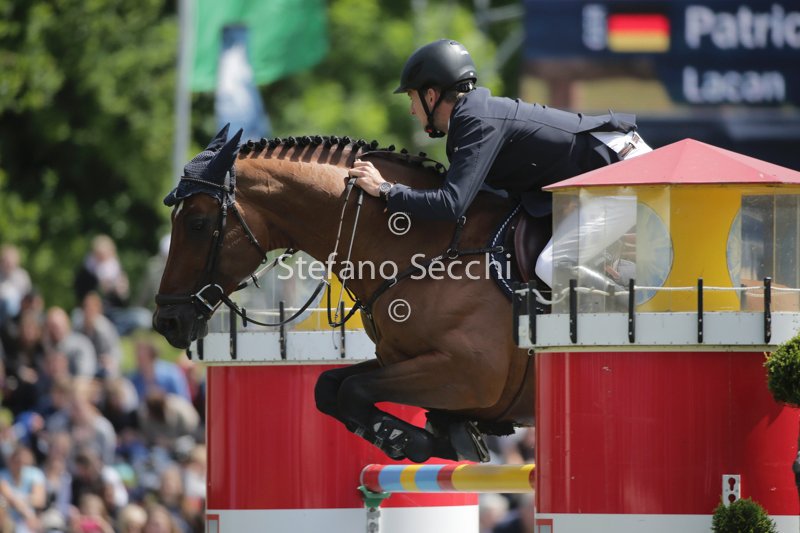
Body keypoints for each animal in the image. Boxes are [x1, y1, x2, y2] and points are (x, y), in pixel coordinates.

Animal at [153, 125, 538, 463]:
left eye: (198, 224)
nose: (165, 322)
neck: (427, 249)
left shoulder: (468, 372)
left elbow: (354, 390)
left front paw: (412, 441)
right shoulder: (400, 359)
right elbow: (329, 386)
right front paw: (445, 434)